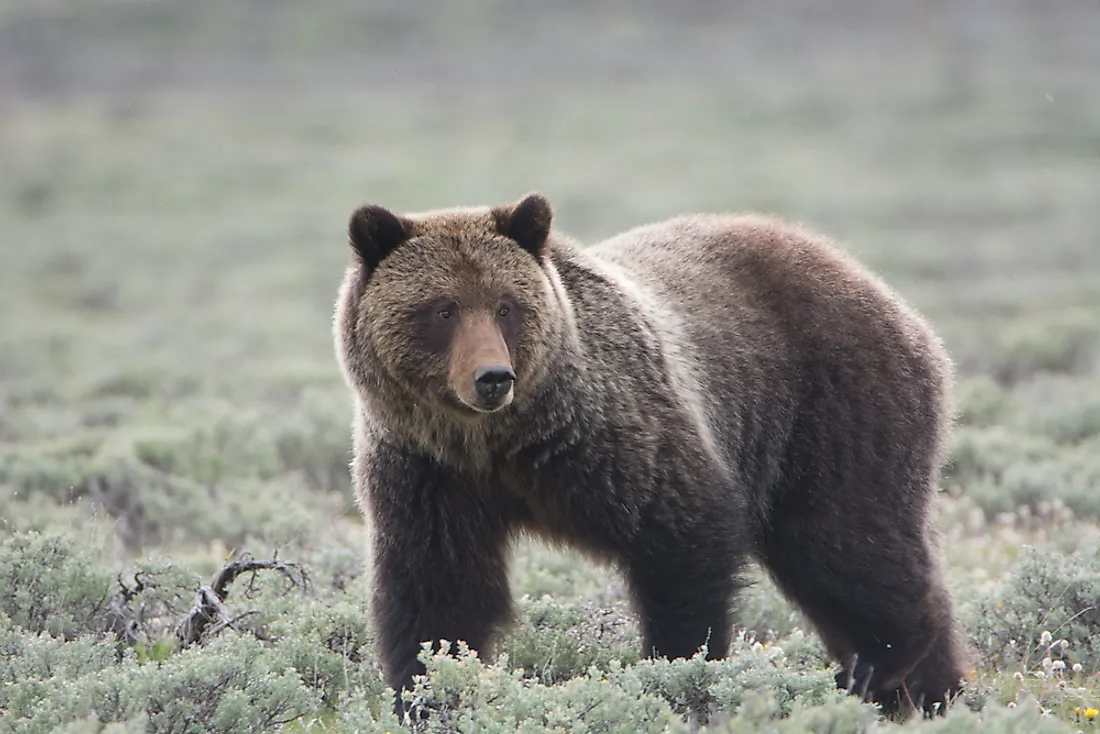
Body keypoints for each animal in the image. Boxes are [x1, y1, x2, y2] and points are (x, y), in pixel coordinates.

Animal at [330, 189, 968, 717]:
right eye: (443, 308)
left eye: (506, 305)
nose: (492, 377)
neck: (502, 442)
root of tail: (871, 282)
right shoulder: (430, 471)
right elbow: (439, 590)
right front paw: (429, 691)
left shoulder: (615, 437)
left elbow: (684, 542)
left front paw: (678, 673)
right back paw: (927, 691)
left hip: (834, 408)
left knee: (847, 542)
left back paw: (889, 666)